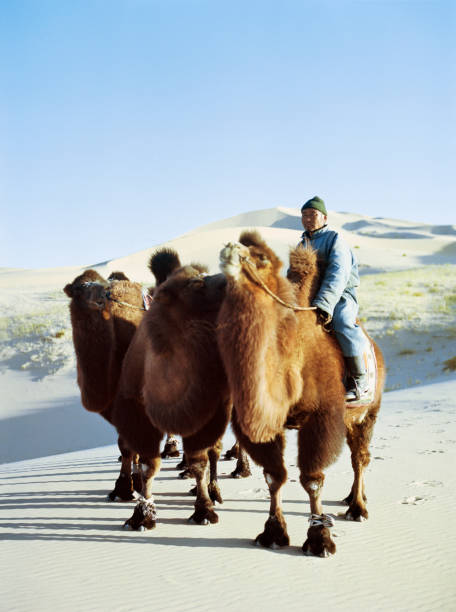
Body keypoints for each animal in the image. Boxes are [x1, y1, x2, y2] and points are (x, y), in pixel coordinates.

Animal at [217, 232, 384, 556]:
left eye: (260, 256)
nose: (229, 247)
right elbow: (274, 476)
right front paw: (272, 532)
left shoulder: (320, 419)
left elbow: (312, 479)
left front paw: (320, 539)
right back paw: (351, 498)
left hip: (369, 412)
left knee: (360, 457)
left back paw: (357, 508)